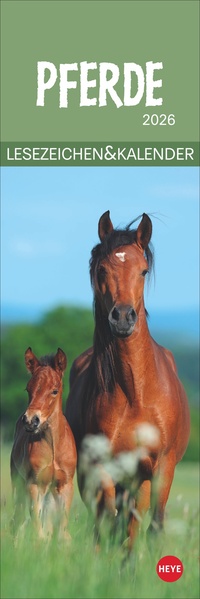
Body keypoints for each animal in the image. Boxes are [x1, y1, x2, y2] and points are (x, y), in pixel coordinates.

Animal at [10, 346, 77, 544]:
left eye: (54, 390)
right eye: (28, 389)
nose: (31, 420)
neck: (54, 448)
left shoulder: (65, 485)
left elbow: (61, 531)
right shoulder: (34, 483)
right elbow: (37, 530)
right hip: (18, 482)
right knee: (18, 518)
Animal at [66, 210, 191, 548]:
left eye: (143, 270)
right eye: (102, 269)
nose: (123, 317)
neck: (136, 393)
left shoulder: (161, 468)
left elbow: (150, 525)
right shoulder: (102, 467)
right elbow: (109, 518)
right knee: (106, 519)